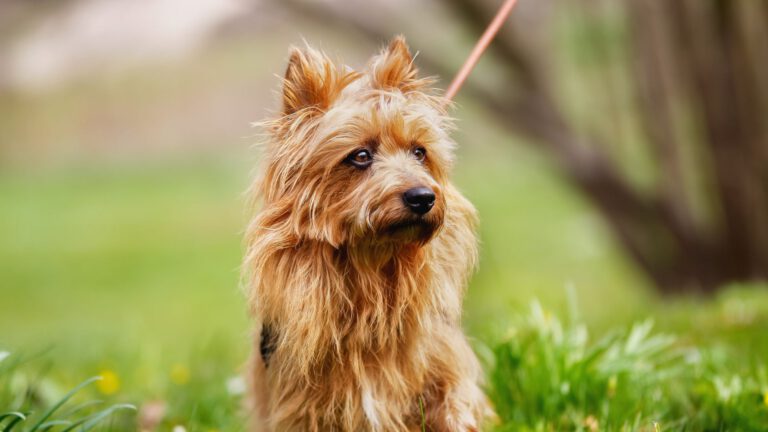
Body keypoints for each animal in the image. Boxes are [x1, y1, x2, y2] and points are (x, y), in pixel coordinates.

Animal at [243, 35, 488, 430]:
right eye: (360, 156)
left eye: (419, 152)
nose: (424, 197)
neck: (371, 268)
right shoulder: (300, 405)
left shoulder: (444, 373)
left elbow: (453, 407)